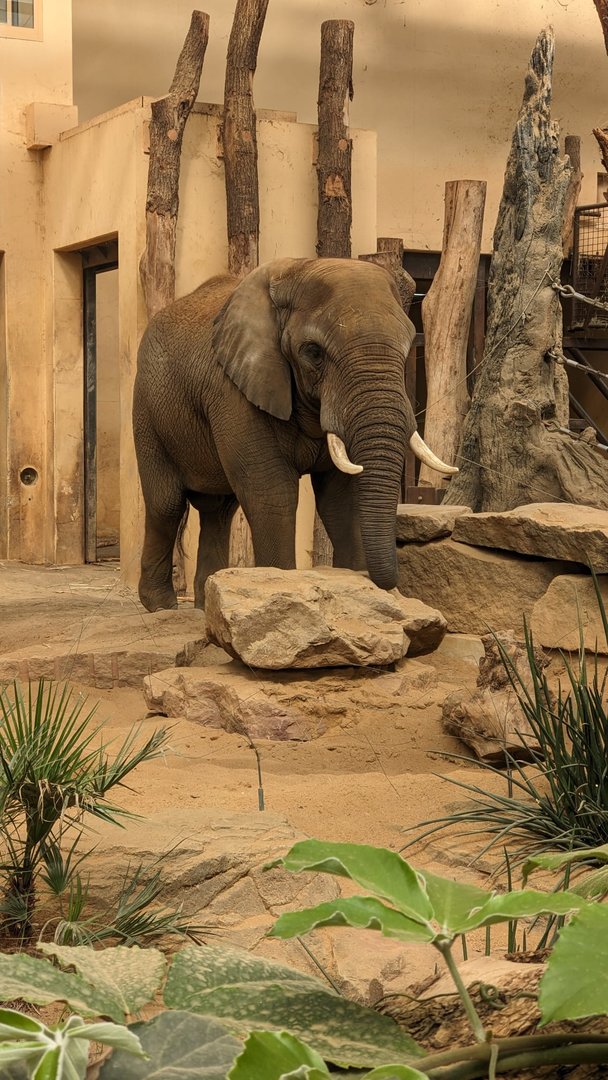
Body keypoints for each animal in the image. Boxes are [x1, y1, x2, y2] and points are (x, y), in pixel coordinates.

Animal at [133, 256, 456, 611]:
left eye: (409, 346)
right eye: (313, 352)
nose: (383, 583)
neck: (294, 270)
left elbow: (340, 500)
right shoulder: (234, 390)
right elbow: (272, 493)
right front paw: (280, 593)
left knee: (218, 511)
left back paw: (206, 604)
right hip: (147, 409)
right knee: (166, 504)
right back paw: (161, 605)